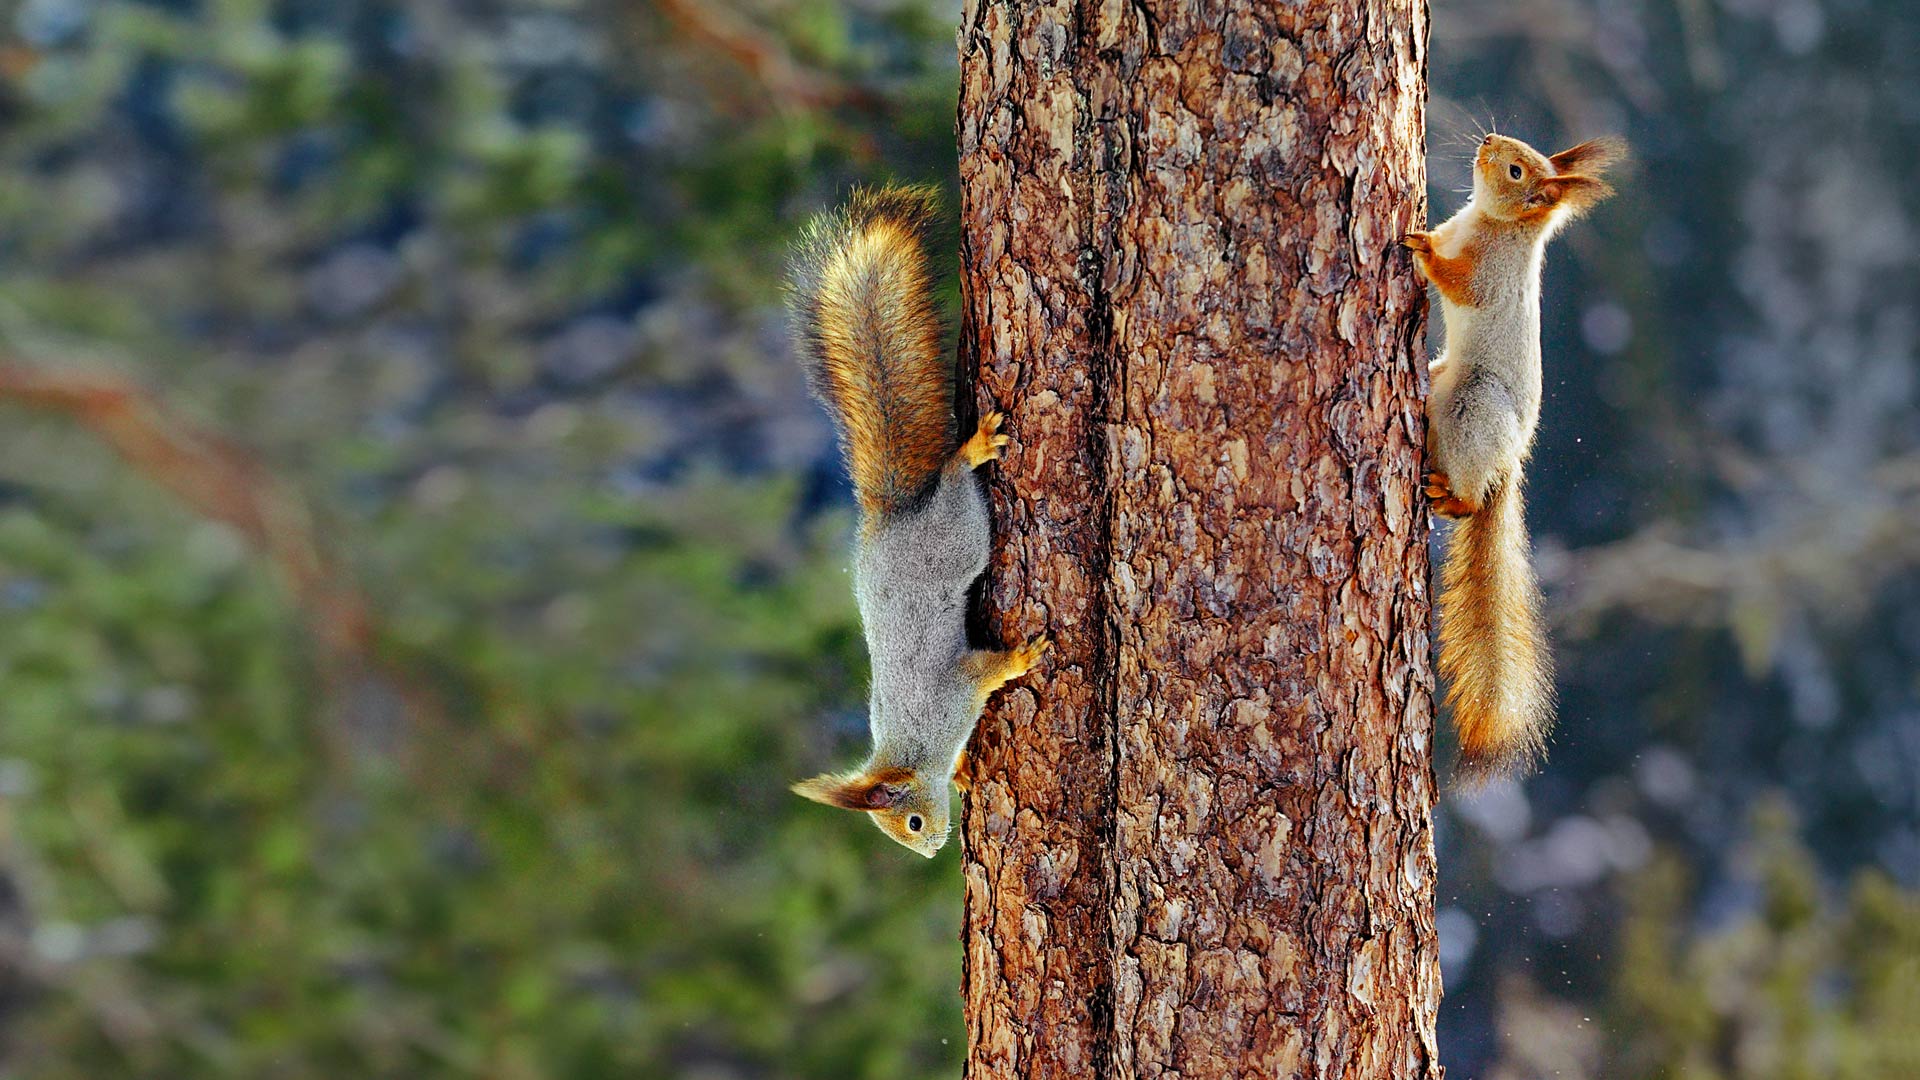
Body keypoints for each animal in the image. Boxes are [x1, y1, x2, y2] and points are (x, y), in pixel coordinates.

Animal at [779, 187, 1052, 857]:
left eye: (911, 824)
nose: (930, 851)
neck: (914, 746)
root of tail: (895, 516)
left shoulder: (951, 694)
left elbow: (985, 671)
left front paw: (1020, 658)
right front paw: (964, 771)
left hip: (957, 534)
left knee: (954, 478)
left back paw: (972, 449)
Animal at [1405, 130, 1628, 776]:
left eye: (1515, 171)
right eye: (1518, 155)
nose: (1487, 139)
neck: (1490, 223)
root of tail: (1509, 465)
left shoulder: (1490, 278)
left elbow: (1459, 283)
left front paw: (1419, 246)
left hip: (1477, 407)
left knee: (1469, 498)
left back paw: (1452, 496)